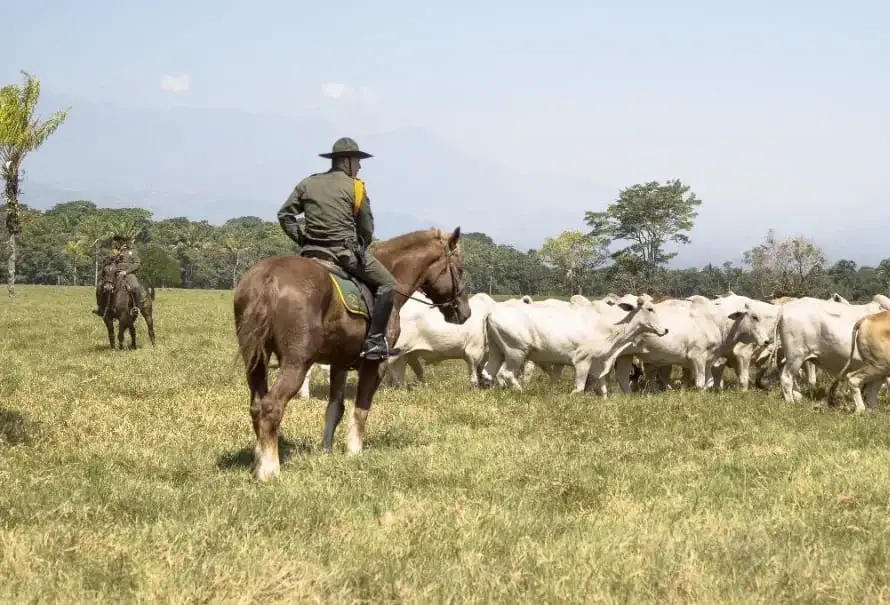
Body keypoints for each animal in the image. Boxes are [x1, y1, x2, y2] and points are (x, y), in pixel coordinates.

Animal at [234, 226, 472, 482]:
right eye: (459, 269)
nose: (465, 312)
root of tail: (268, 277)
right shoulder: (375, 364)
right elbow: (361, 409)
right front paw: (354, 451)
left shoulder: (339, 363)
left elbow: (335, 408)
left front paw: (326, 450)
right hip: (296, 364)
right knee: (271, 407)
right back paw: (269, 470)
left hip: (256, 361)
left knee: (257, 406)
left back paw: (259, 460)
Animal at [478, 294, 664, 394]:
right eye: (649, 309)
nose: (665, 330)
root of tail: (491, 313)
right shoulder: (583, 361)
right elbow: (579, 388)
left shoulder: (599, 364)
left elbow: (602, 387)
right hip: (516, 353)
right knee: (506, 374)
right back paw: (521, 391)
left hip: (497, 352)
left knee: (488, 373)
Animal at [612, 294, 772, 392]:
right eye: (755, 317)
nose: (767, 340)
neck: (716, 322)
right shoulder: (697, 357)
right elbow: (700, 383)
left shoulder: (709, 359)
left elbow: (709, 382)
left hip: (625, 356)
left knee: (624, 377)